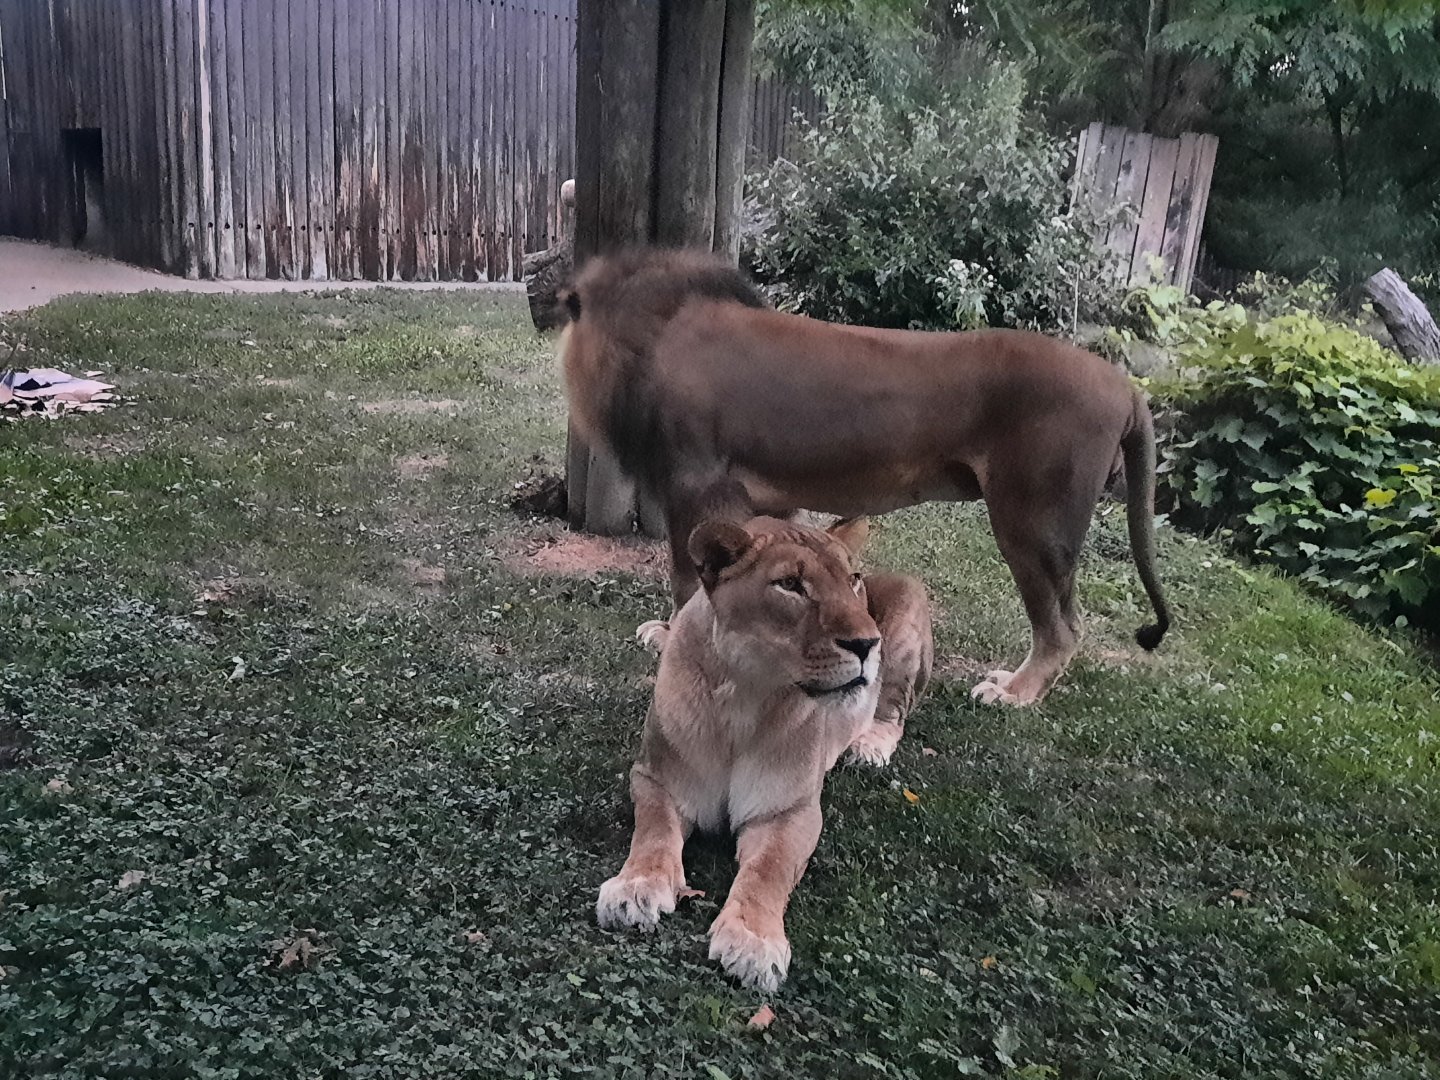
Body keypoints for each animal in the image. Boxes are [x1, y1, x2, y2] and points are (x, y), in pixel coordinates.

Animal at [559, 247, 1169, 706]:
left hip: (1032, 524)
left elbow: (687, 579)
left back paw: (1014, 693)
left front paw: (671, 636)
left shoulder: (699, 483)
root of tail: (1127, 387)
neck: (654, 336)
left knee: (1062, 628)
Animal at [596, 514, 933, 991]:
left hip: (907, 604)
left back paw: (868, 748)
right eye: (790, 584)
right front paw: (635, 889)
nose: (867, 644)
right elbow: (654, 832)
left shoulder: (790, 811)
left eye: (852, 580)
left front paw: (753, 942)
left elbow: (767, 871)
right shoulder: (656, 779)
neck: (743, 700)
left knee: (893, 710)